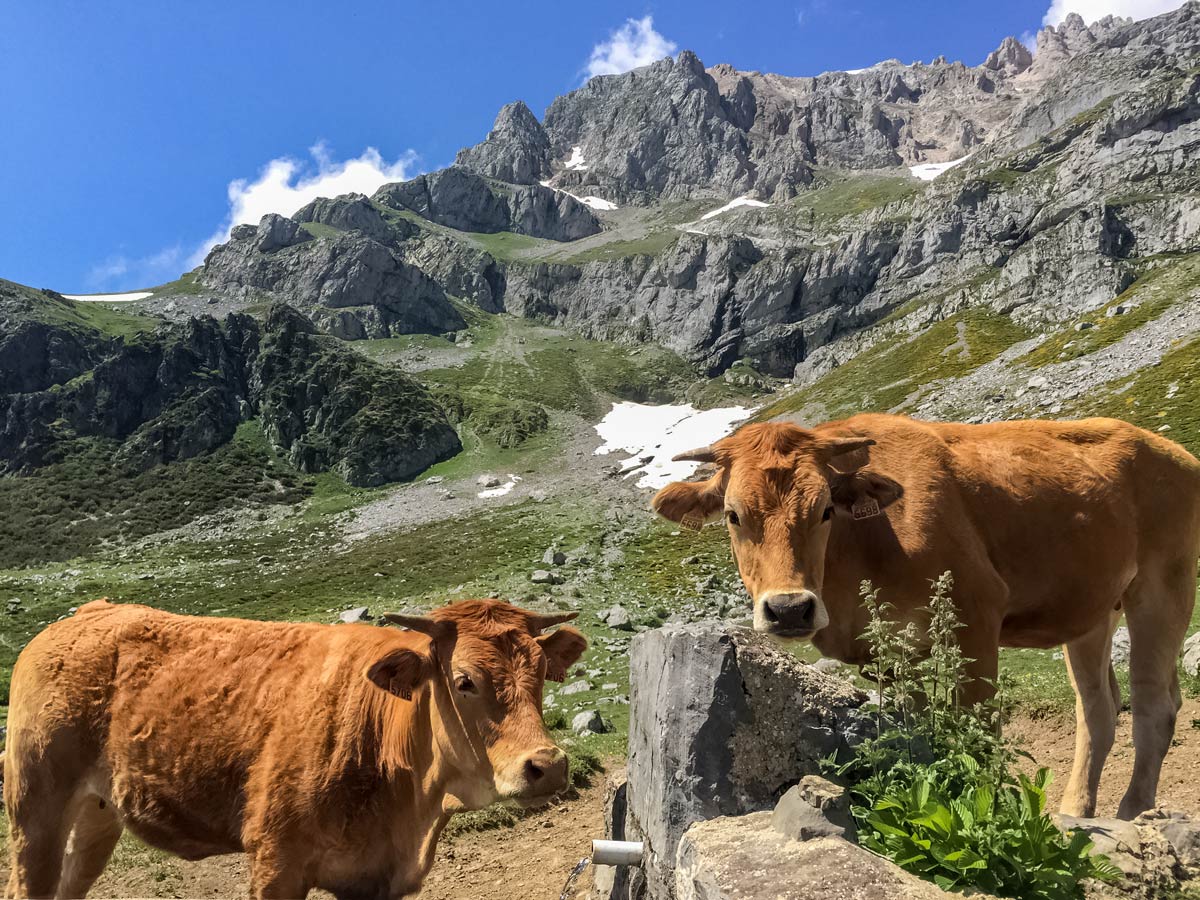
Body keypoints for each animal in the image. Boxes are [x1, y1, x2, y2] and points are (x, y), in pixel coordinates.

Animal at [4, 595, 585, 897]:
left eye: (541, 673)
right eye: (464, 680)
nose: (548, 766)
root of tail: (85, 614)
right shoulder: (276, 861)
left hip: (96, 815)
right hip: (35, 810)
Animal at [652, 415, 1200, 825]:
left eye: (826, 510)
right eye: (733, 515)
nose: (789, 608)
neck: (868, 544)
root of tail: (1173, 451)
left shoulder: (976, 615)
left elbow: (981, 734)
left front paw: (988, 808)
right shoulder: (897, 654)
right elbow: (920, 736)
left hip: (1164, 587)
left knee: (1154, 706)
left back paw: (1132, 814)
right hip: (1091, 610)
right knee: (1099, 710)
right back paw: (1076, 812)